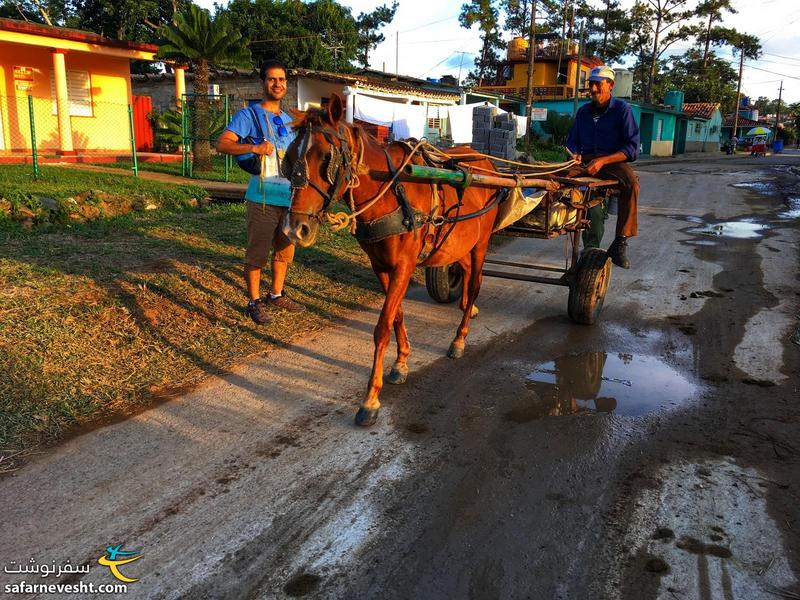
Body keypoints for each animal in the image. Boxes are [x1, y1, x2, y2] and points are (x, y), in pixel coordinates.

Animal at [282, 94, 500, 426]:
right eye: (289, 156)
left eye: (326, 157)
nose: (295, 229)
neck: (389, 193)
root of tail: (484, 161)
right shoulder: (381, 267)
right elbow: (396, 315)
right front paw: (401, 363)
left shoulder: (403, 267)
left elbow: (382, 326)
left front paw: (370, 398)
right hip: (458, 242)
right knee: (463, 271)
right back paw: (468, 307)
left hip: (481, 242)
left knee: (475, 282)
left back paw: (460, 338)